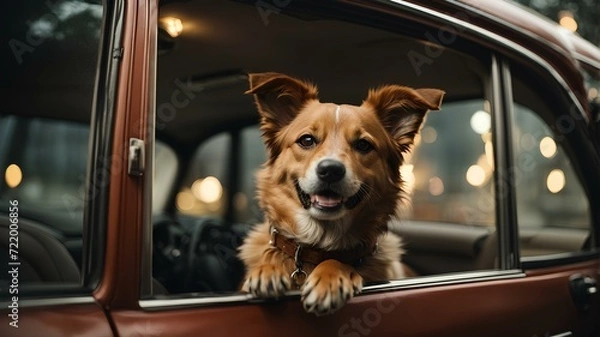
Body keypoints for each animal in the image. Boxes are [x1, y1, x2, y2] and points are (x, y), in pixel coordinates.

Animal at [237, 71, 442, 316]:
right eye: (307, 140)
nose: (330, 170)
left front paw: (330, 277)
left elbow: (338, 260)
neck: (318, 246)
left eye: (363, 145)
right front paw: (269, 267)